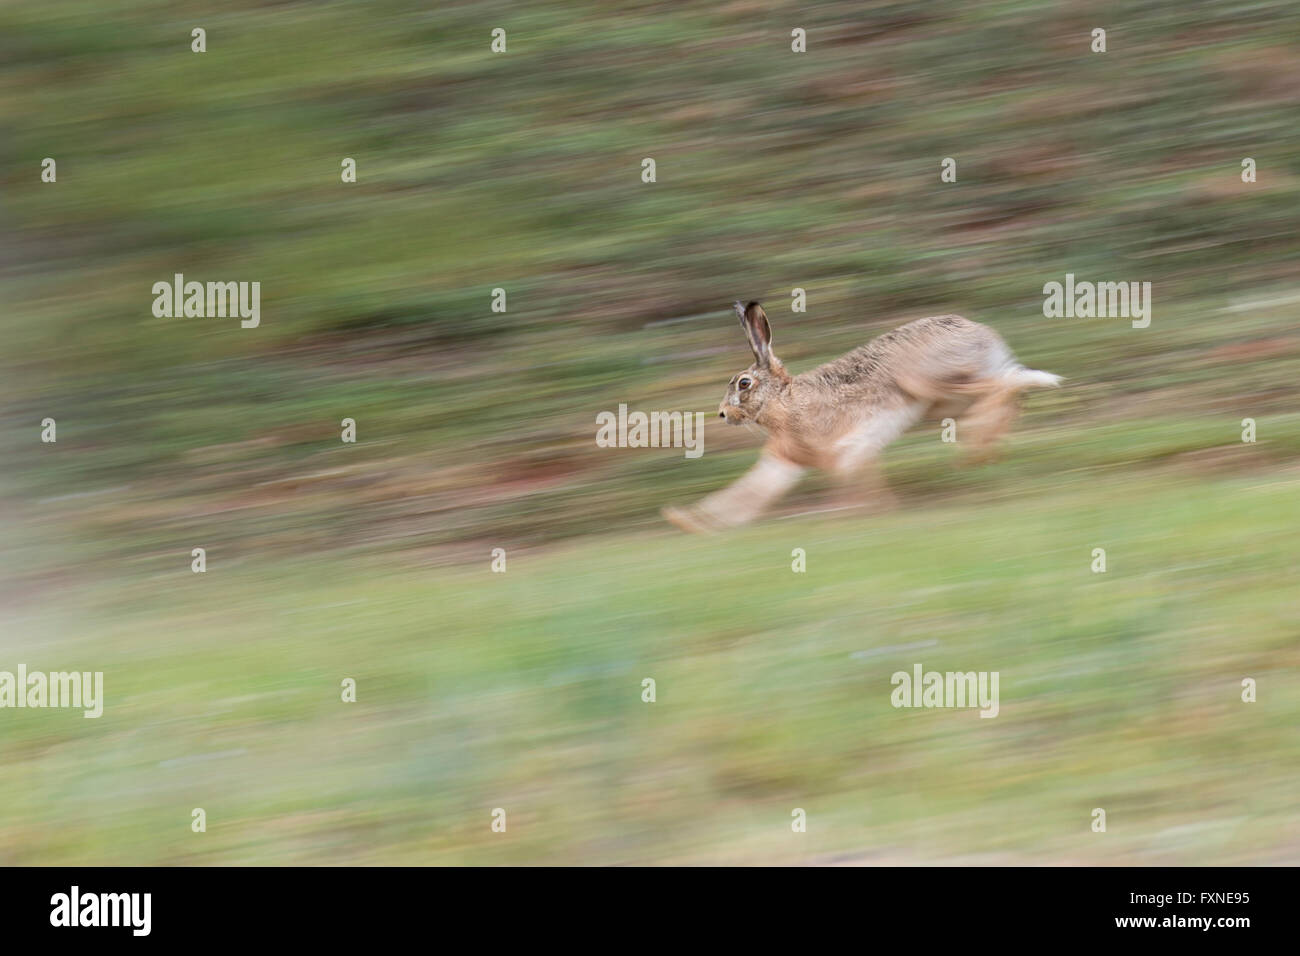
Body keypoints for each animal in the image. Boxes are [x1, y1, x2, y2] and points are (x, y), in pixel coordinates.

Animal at [661, 301, 1061, 533]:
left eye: (744, 383)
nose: (722, 413)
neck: (784, 401)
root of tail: (986, 337)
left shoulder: (850, 447)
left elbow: (854, 486)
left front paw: (864, 513)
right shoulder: (786, 459)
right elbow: (749, 493)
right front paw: (689, 521)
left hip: (924, 381)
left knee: (1003, 387)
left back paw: (977, 449)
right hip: (944, 399)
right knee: (1009, 391)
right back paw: (983, 453)